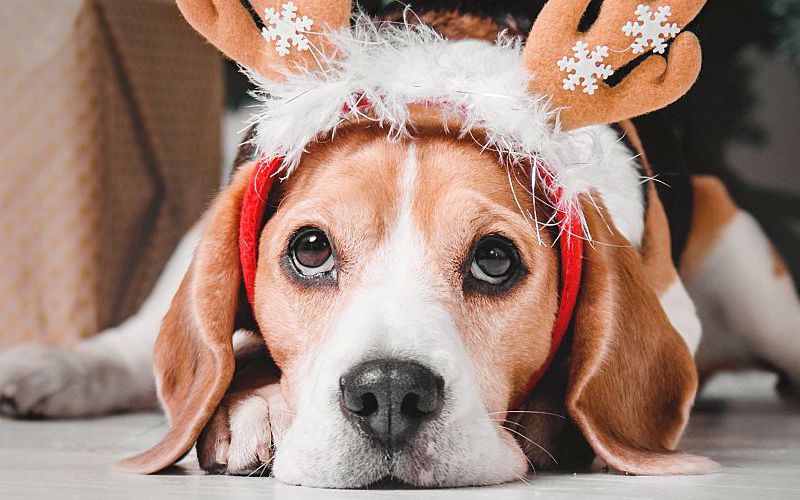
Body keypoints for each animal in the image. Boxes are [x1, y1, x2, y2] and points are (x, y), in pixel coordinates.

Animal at [1, 0, 800, 488]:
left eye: (495, 259)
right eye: (310, 249)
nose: (388, 392)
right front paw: (254, 407)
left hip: (750, 275)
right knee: (131, 349)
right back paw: (49, 370)